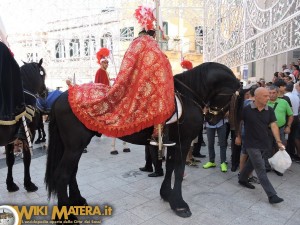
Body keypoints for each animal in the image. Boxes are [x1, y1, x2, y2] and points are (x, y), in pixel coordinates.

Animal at [0, 42, 46, 192]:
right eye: (43, 74)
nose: (45, 92)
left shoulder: (10, 139)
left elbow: (10, 160)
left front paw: (10, 184)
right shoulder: (29, 133)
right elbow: (27, 158)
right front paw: (29, 183)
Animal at [45, 61, 241, 221]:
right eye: (230, 97)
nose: (213, 121)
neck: (188, 96)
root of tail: (61, 97)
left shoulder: (173, 143)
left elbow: (170, 168)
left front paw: (166, 194)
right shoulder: (183, 143)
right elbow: (178, 171)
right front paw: (179, 204)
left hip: (75, 147)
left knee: (72, 172)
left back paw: (77, 201)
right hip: (74, 147)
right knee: (63, 174)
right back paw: (67, 214)